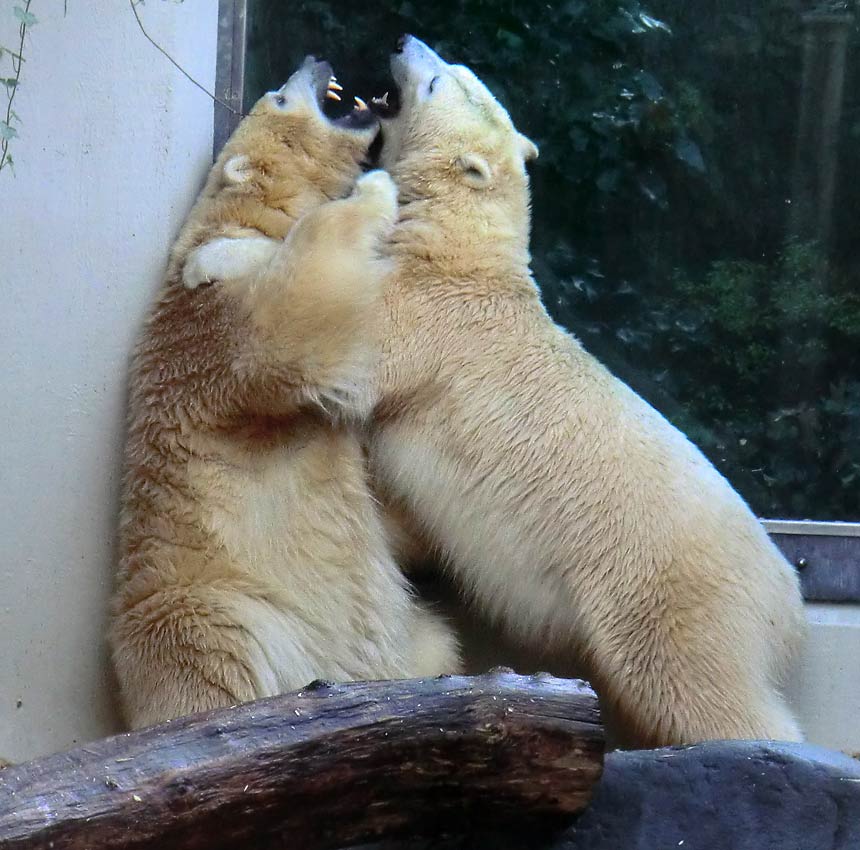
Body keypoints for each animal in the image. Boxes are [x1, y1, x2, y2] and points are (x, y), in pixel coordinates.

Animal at [111, 56, 464, 724]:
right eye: (277, 96)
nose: (314, 62)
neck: (239, 218)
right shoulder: (207, 322)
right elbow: (289, 320)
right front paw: (374, 188)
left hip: (404, 638)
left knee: (437, 641)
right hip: (219, 604)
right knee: (217, 653)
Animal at [368, 36, 808, 744]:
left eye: (438, 80)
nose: (403, 41)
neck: (461, 258)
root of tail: (789, 603)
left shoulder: (425, 321)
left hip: (665, 596)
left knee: (696, 688)